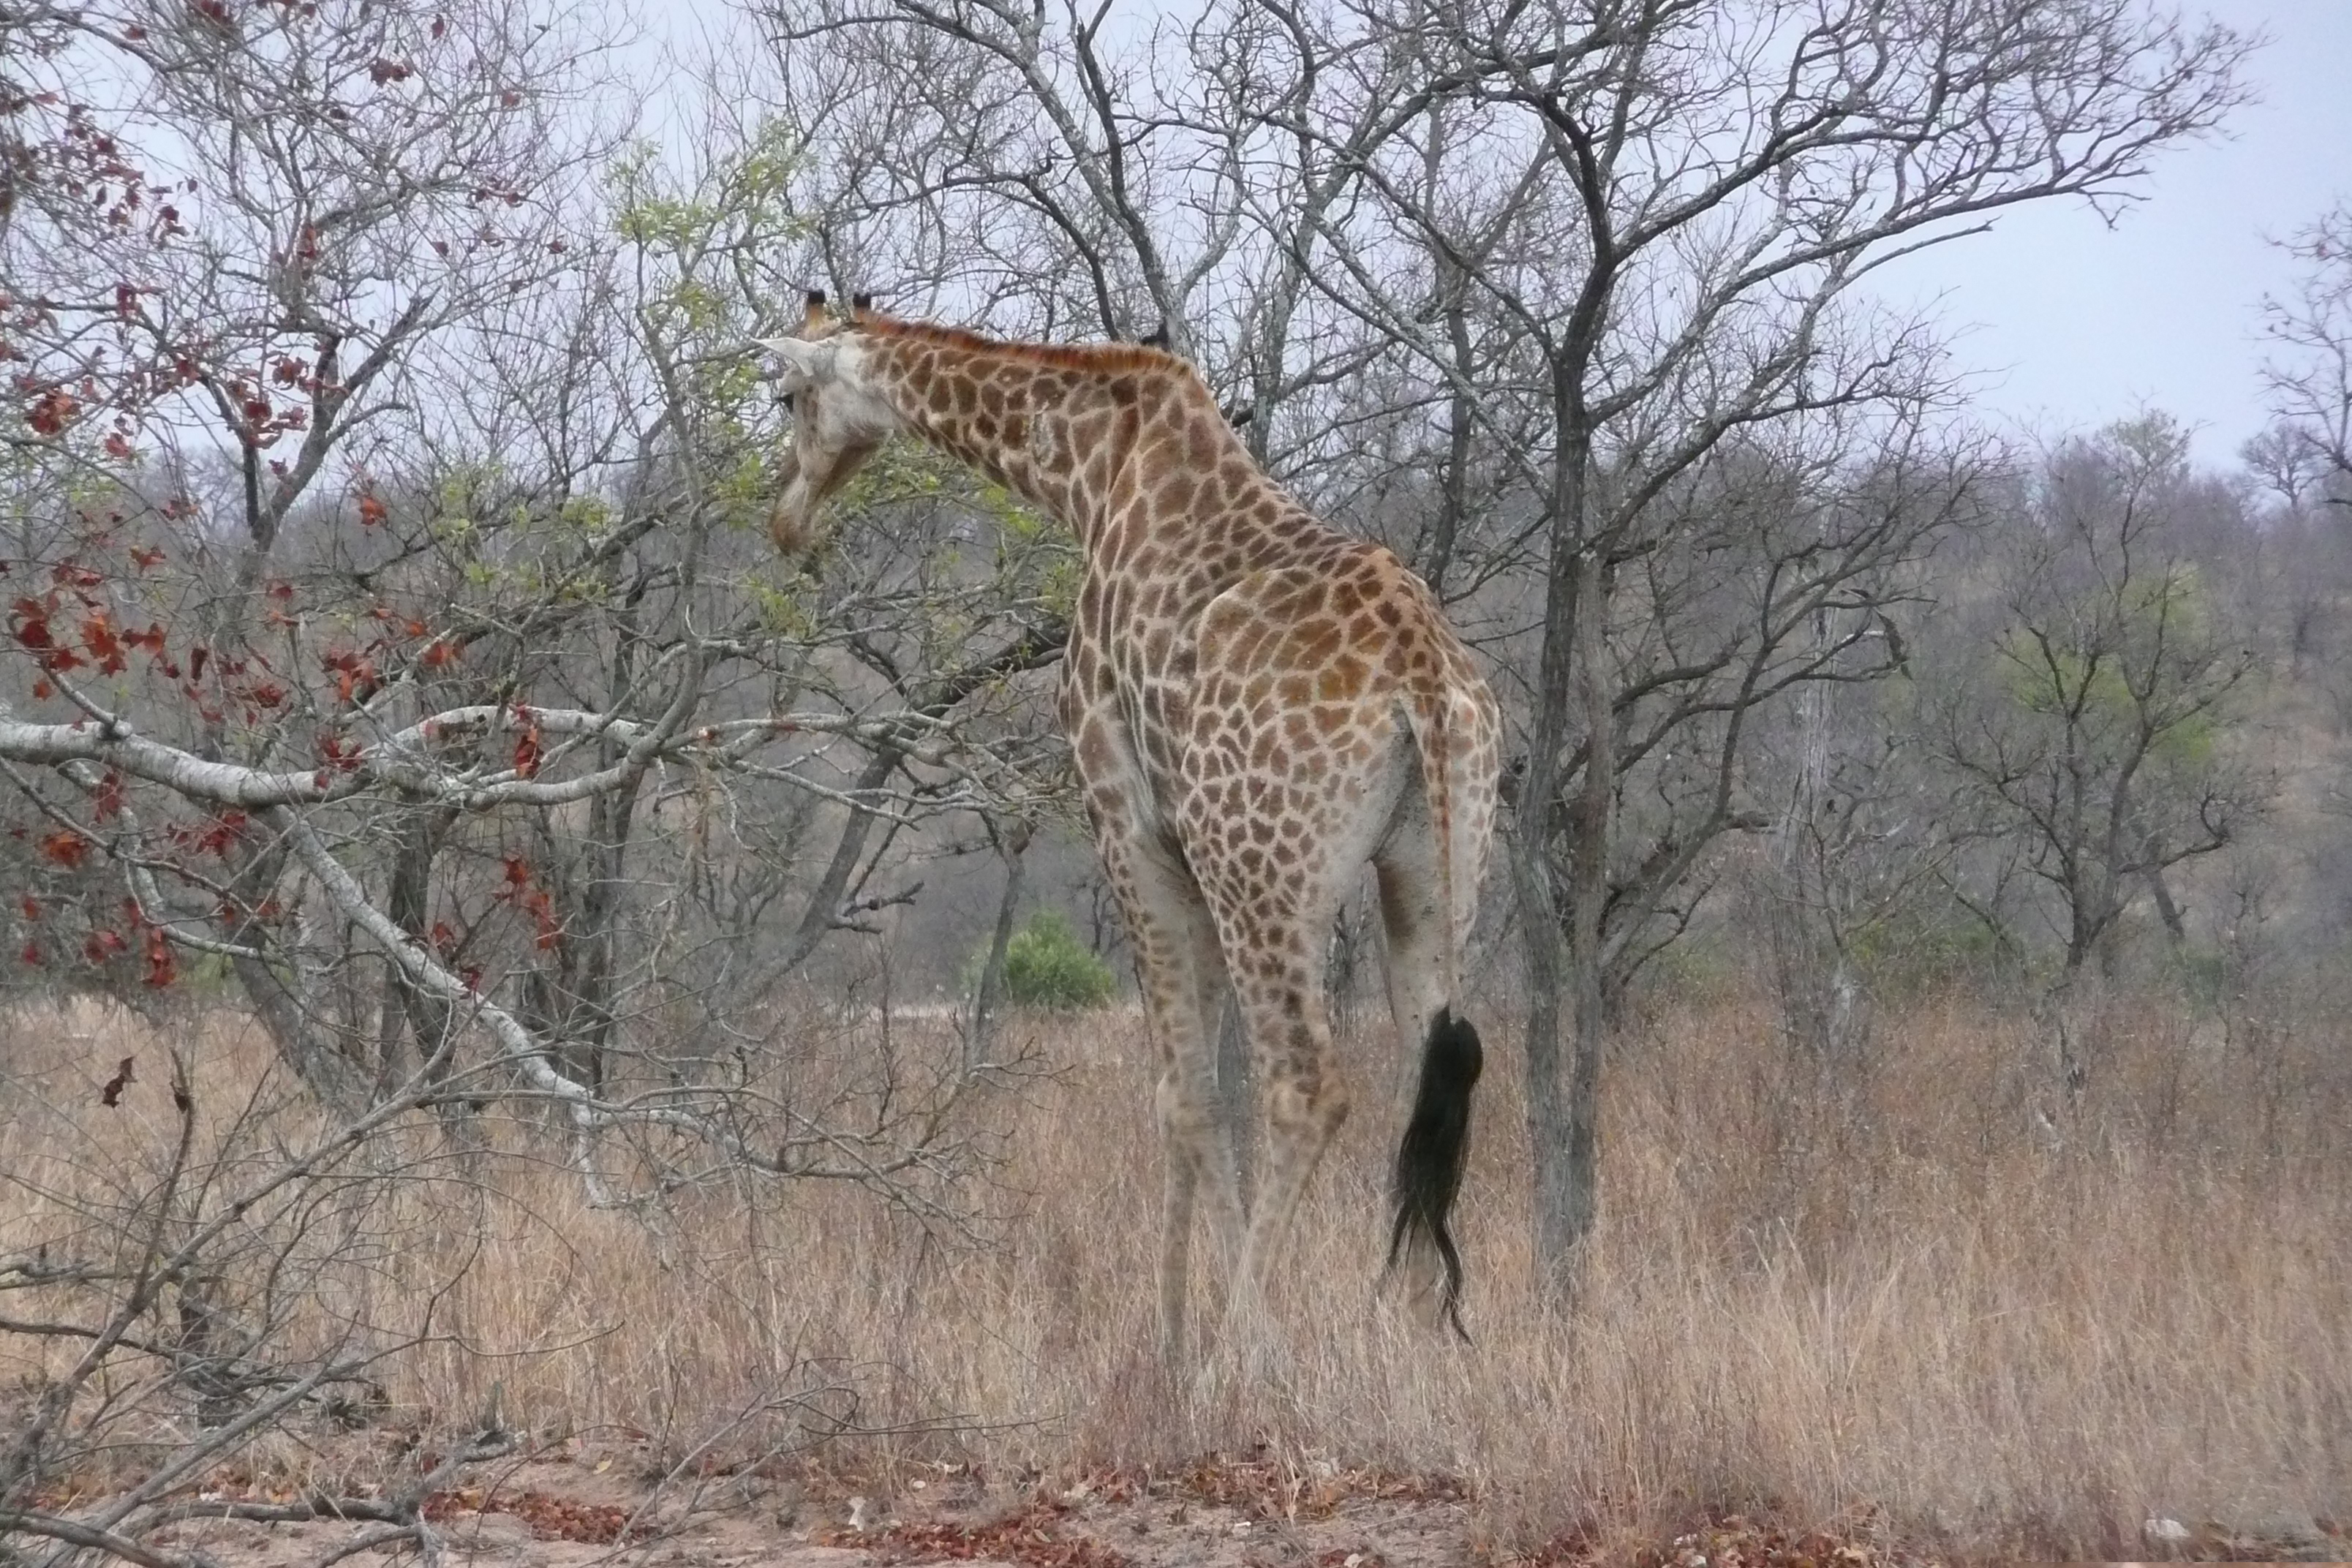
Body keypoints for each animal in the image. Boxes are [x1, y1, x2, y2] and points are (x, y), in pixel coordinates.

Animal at [761, 293, 1496, 1363]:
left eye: (785, 396)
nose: (784, 518)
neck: (1086, 471)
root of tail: (1422, 677)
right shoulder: (1188, 849)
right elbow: (1202, 1089)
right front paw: (1187, 1324)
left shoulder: (1127, 821)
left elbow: (1182, 1092)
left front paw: (1186, 1343)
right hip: (1437, 866)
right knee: (1425, 1069)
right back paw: (1391, 1342)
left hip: (1265, 869)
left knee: (1306, 1085)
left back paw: (1239, 1359)